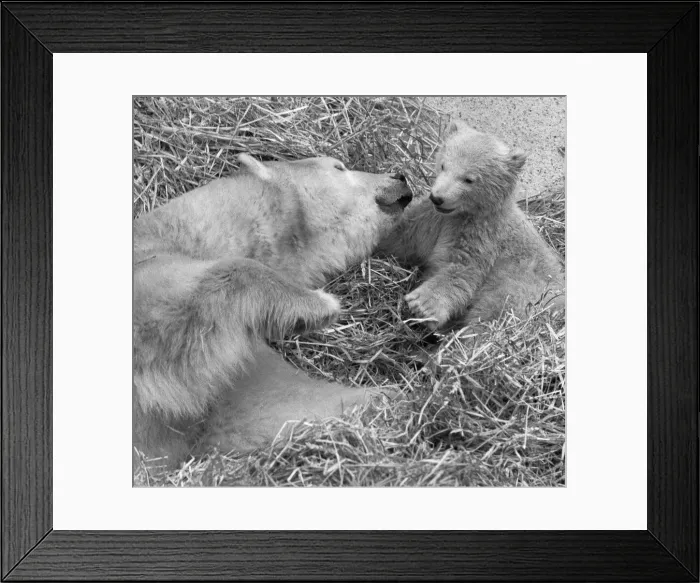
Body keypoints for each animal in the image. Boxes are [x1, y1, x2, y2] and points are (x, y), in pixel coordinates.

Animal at [133, 153, 412, 469]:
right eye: (338, 167)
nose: (400, 176)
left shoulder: (230, 381)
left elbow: (271, 406)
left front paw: (386, 395)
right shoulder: (148, 275)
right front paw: (318, 304)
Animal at [379, 119, 564, 330]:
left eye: (468, 179)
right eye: (443, 165)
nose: (437, 198)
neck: (463, 214)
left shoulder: (483, 233)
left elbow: (463, 270)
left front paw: (422, 305)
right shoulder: (432, 219)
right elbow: (403, 236)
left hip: (523, 285)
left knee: (493, 310)